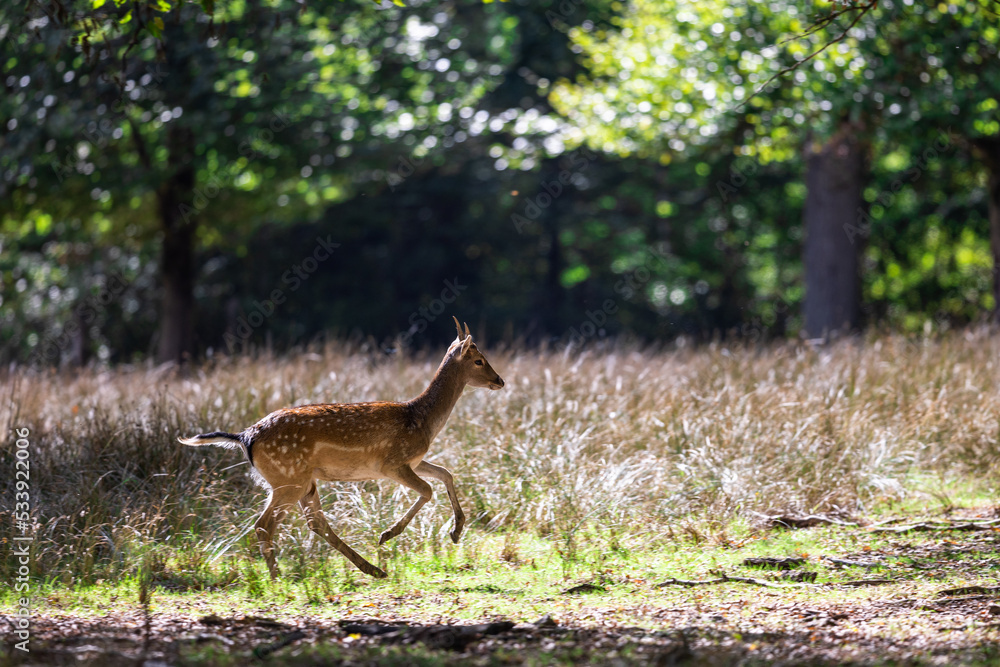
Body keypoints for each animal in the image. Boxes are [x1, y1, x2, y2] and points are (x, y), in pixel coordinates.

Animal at [178, 318, 508, 580]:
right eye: (479, 360)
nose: (501, 380)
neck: (421, 420)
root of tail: (245, 437)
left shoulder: (414, 461)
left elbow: (446, 473)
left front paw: (456, 531)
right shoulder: (391, 463)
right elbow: (428, 489)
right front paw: (388, 534)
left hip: (303, 481)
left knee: (314, 522)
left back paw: (372, 569)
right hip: (288, 479)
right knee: (263, 524)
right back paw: (276, 577)